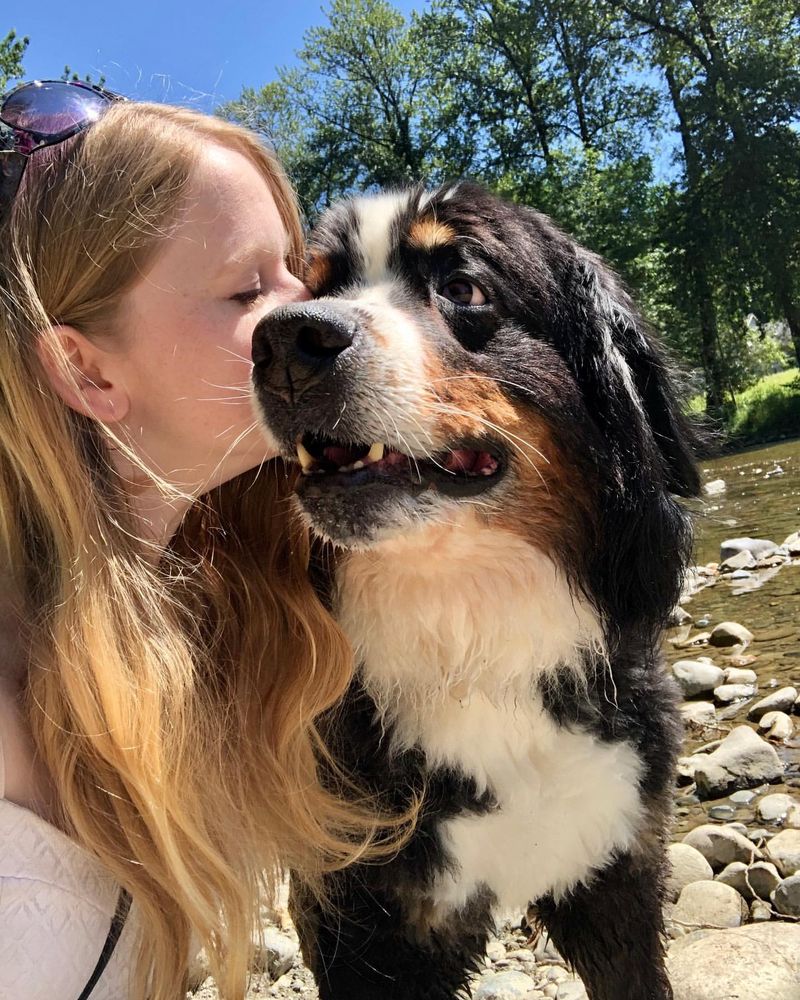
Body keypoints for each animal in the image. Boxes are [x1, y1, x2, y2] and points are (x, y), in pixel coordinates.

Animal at [253, 182, 696, 1000]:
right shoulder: (365, 921)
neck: (471, 640)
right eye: (316, 290)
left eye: (463, 287)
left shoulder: (616, 861)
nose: (286, 341)